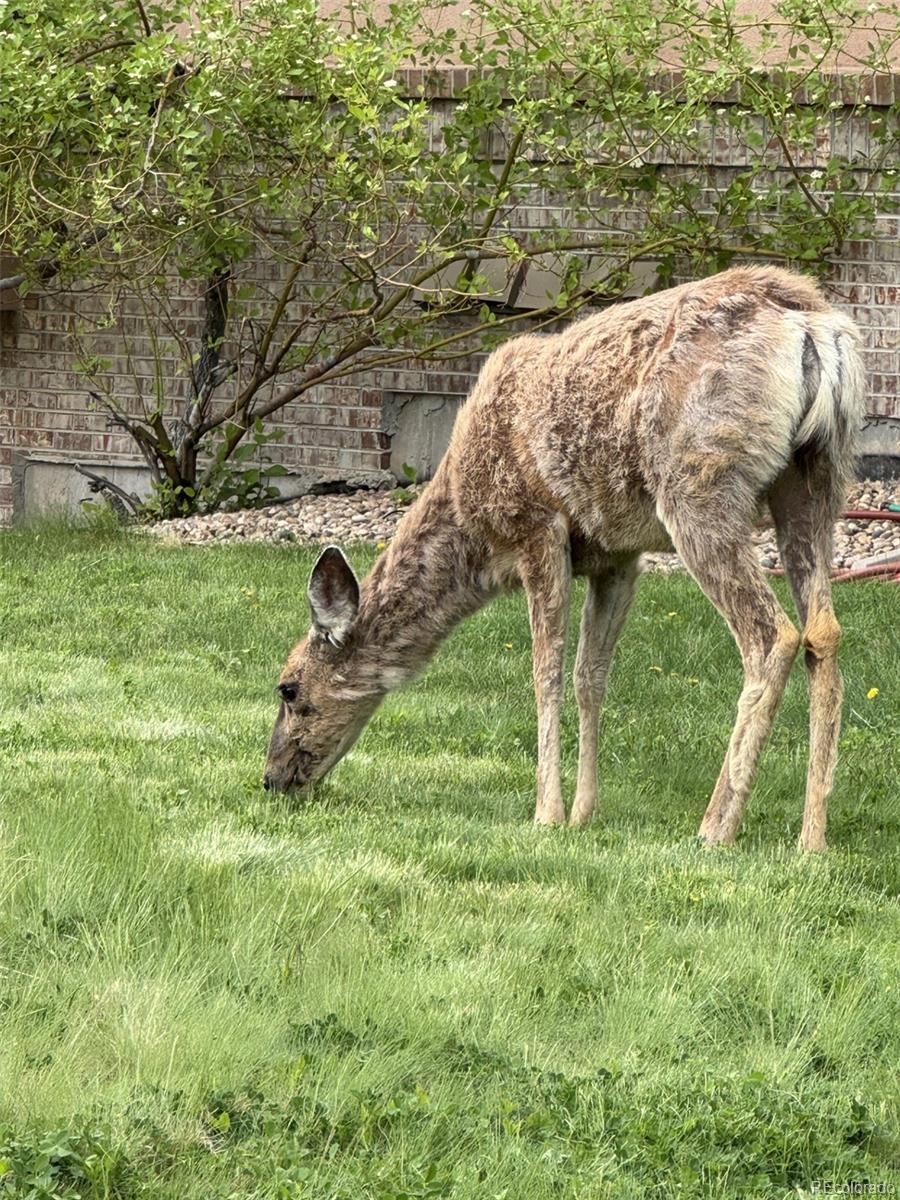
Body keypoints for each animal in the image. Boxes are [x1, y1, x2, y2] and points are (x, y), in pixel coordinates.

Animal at [262, 267, 868, 849]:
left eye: (289, 688)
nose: (270, 778)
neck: (470, 526)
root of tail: (814, 328)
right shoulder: (617, 555)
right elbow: (589, 675)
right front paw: (584, 813)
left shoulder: (536, 528)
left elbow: (545, 672)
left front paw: (547, 814)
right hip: (818, 476)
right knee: (824, 630)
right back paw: (811, 839)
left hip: (700, 483)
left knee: (773, 635)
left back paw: (716, 827)